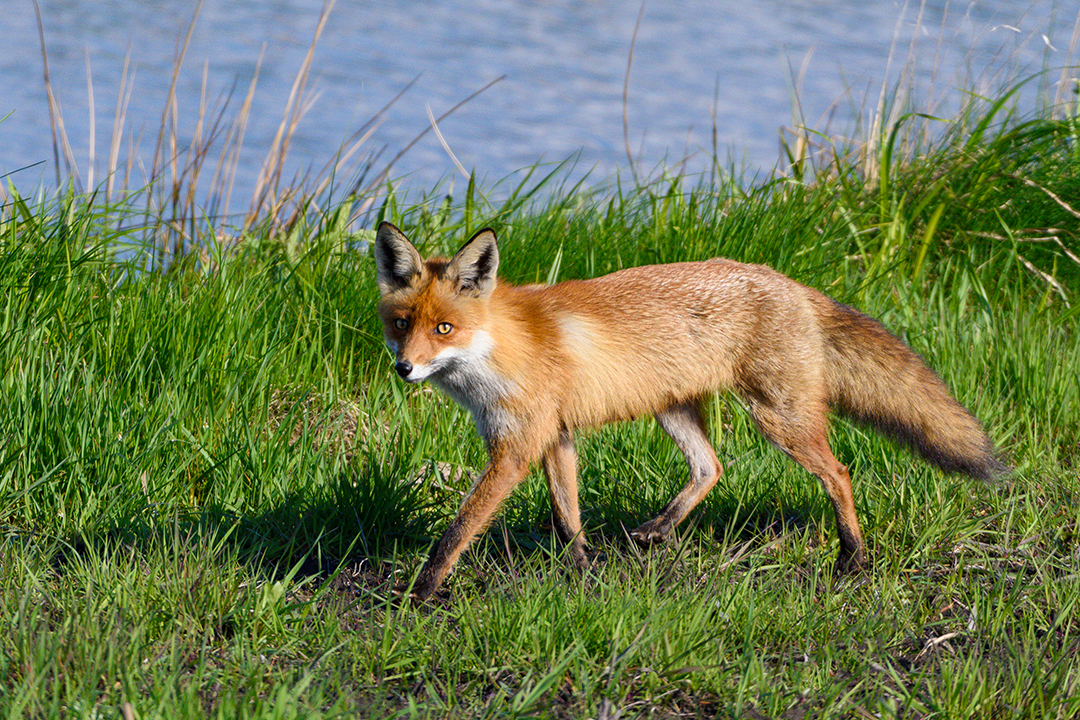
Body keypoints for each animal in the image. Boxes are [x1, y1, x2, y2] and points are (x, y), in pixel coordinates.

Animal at [373, 222, 1010, 600]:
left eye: (444, 329)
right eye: (402, 325)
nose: (404, 369)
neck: (499, 349)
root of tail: (789, 282)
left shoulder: (516, 448)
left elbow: (458, 531)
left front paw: (421, 593)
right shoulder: (555, 436)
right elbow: (567, 516)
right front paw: (582, 570)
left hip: (778, 417)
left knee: (839, 473)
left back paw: (852, 558)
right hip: (675, 412)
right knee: (713, 467)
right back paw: (659, 529)